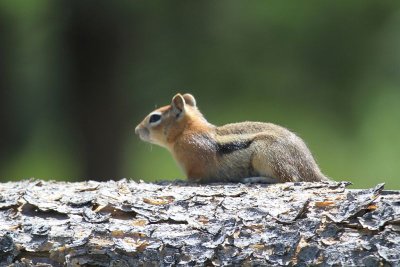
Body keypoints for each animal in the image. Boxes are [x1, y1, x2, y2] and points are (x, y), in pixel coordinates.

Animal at [136, 94, 330, 184]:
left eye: (154, 118)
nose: (137, 130)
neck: (186, 132)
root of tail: (311, 168)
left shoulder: (196, 166)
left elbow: (193, 179)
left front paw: (178, 181)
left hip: (266, 155)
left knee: (290, 178)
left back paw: (257, 179)